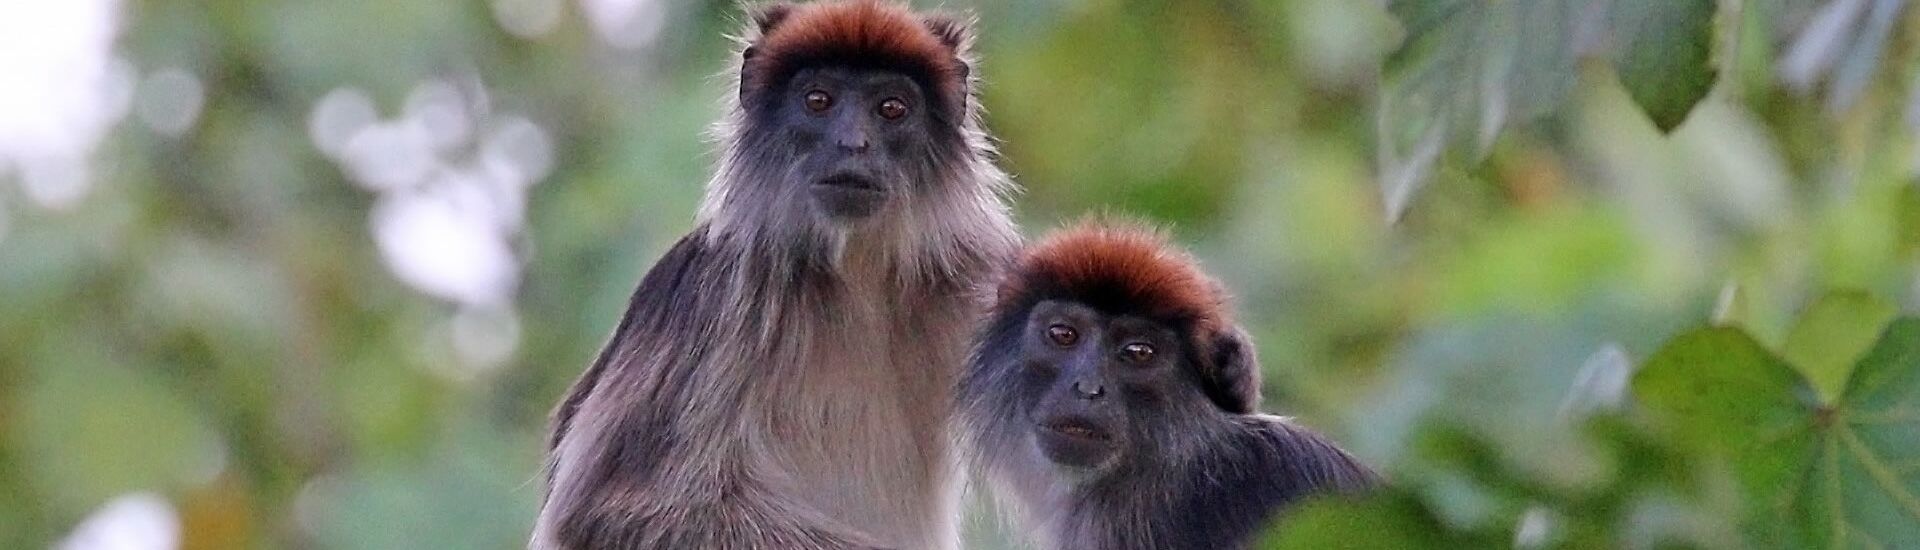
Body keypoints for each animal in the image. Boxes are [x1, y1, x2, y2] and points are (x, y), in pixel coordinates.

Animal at [530, 1, 1019, 549]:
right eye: (818, 101)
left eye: (891, 109)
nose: (853, 143)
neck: (858, 271)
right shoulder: (714, 292)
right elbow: (607, 507)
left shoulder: (986, 282)